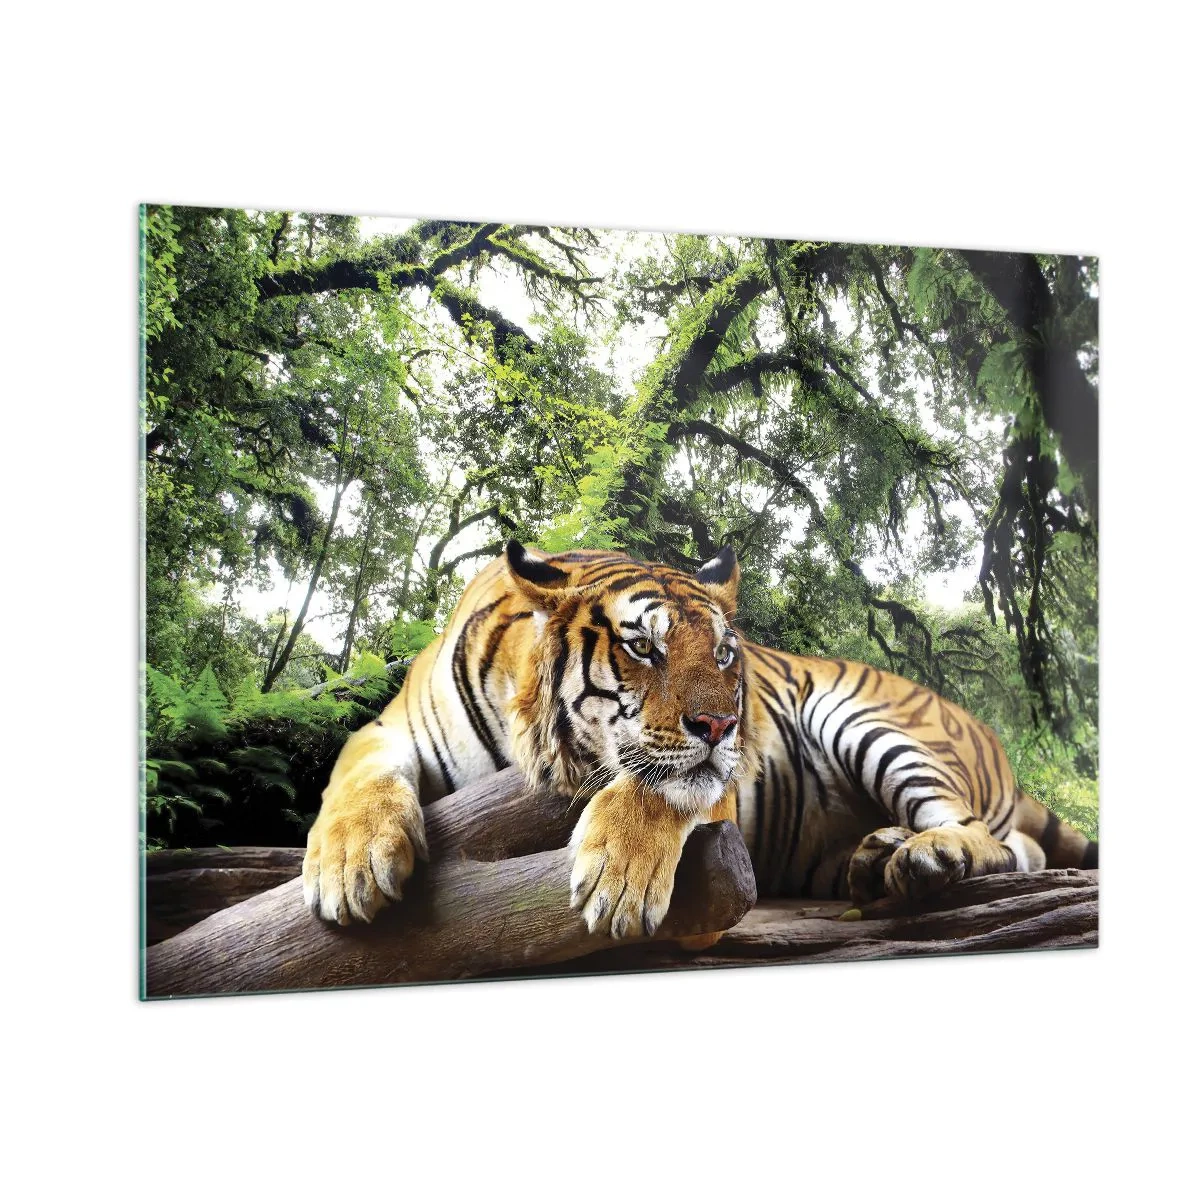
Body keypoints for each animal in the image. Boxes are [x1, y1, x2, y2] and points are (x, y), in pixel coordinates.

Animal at [302, 541, 1098, 942]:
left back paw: (926, 857)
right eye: (642, 648)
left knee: (991, 839)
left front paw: (618, 881)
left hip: (868, 720)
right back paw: (878, 856)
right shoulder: (389, 728)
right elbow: (357, 775)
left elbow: (660, 791)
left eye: (721, 655)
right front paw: (349, 866)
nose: (721, 727)